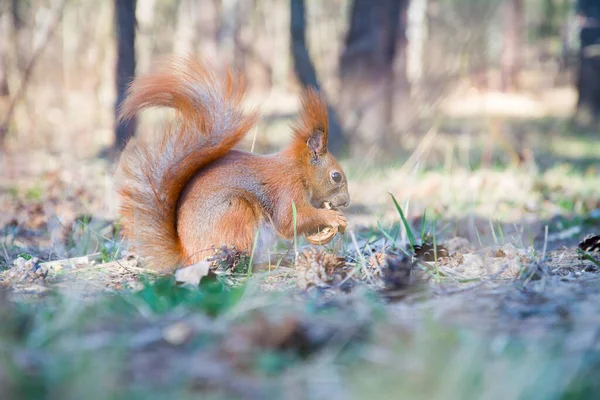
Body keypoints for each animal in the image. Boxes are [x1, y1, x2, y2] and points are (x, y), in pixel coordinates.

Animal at [115, 57, 350, 272]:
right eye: (336, 176)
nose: (347, 202)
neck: (299, 171)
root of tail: (187, 255)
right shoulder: (287, 189)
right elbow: (290, 220)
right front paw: (332, 217)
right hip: (236, 214)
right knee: (247, 263)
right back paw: (269, 264)